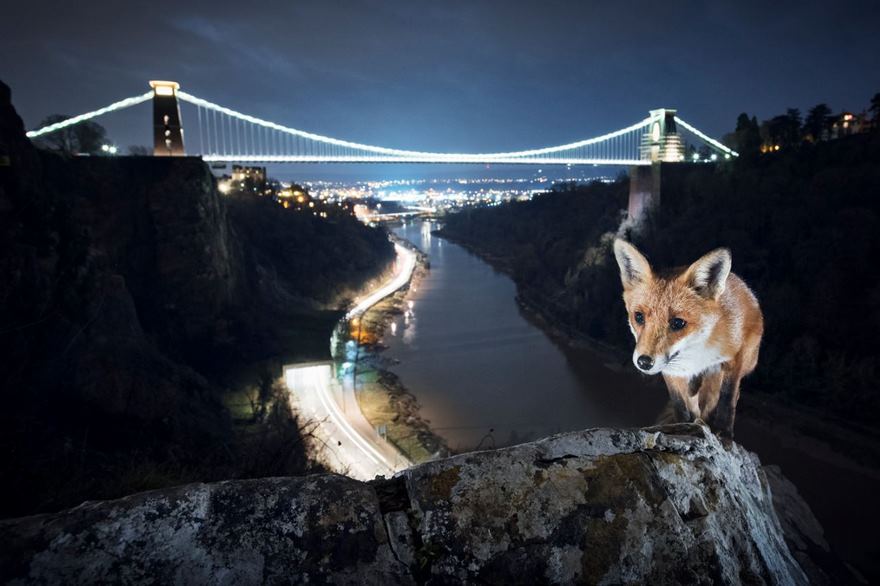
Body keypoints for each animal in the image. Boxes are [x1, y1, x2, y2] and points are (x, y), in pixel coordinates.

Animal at [612, 239, 763, 438]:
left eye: (678, 323)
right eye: (639, 317)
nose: (644, 362)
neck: (696, 354)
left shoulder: (735, 357)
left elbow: (727, 398)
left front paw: (724, 431)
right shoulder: (671, 371)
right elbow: (680, 405)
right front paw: (681, 425)